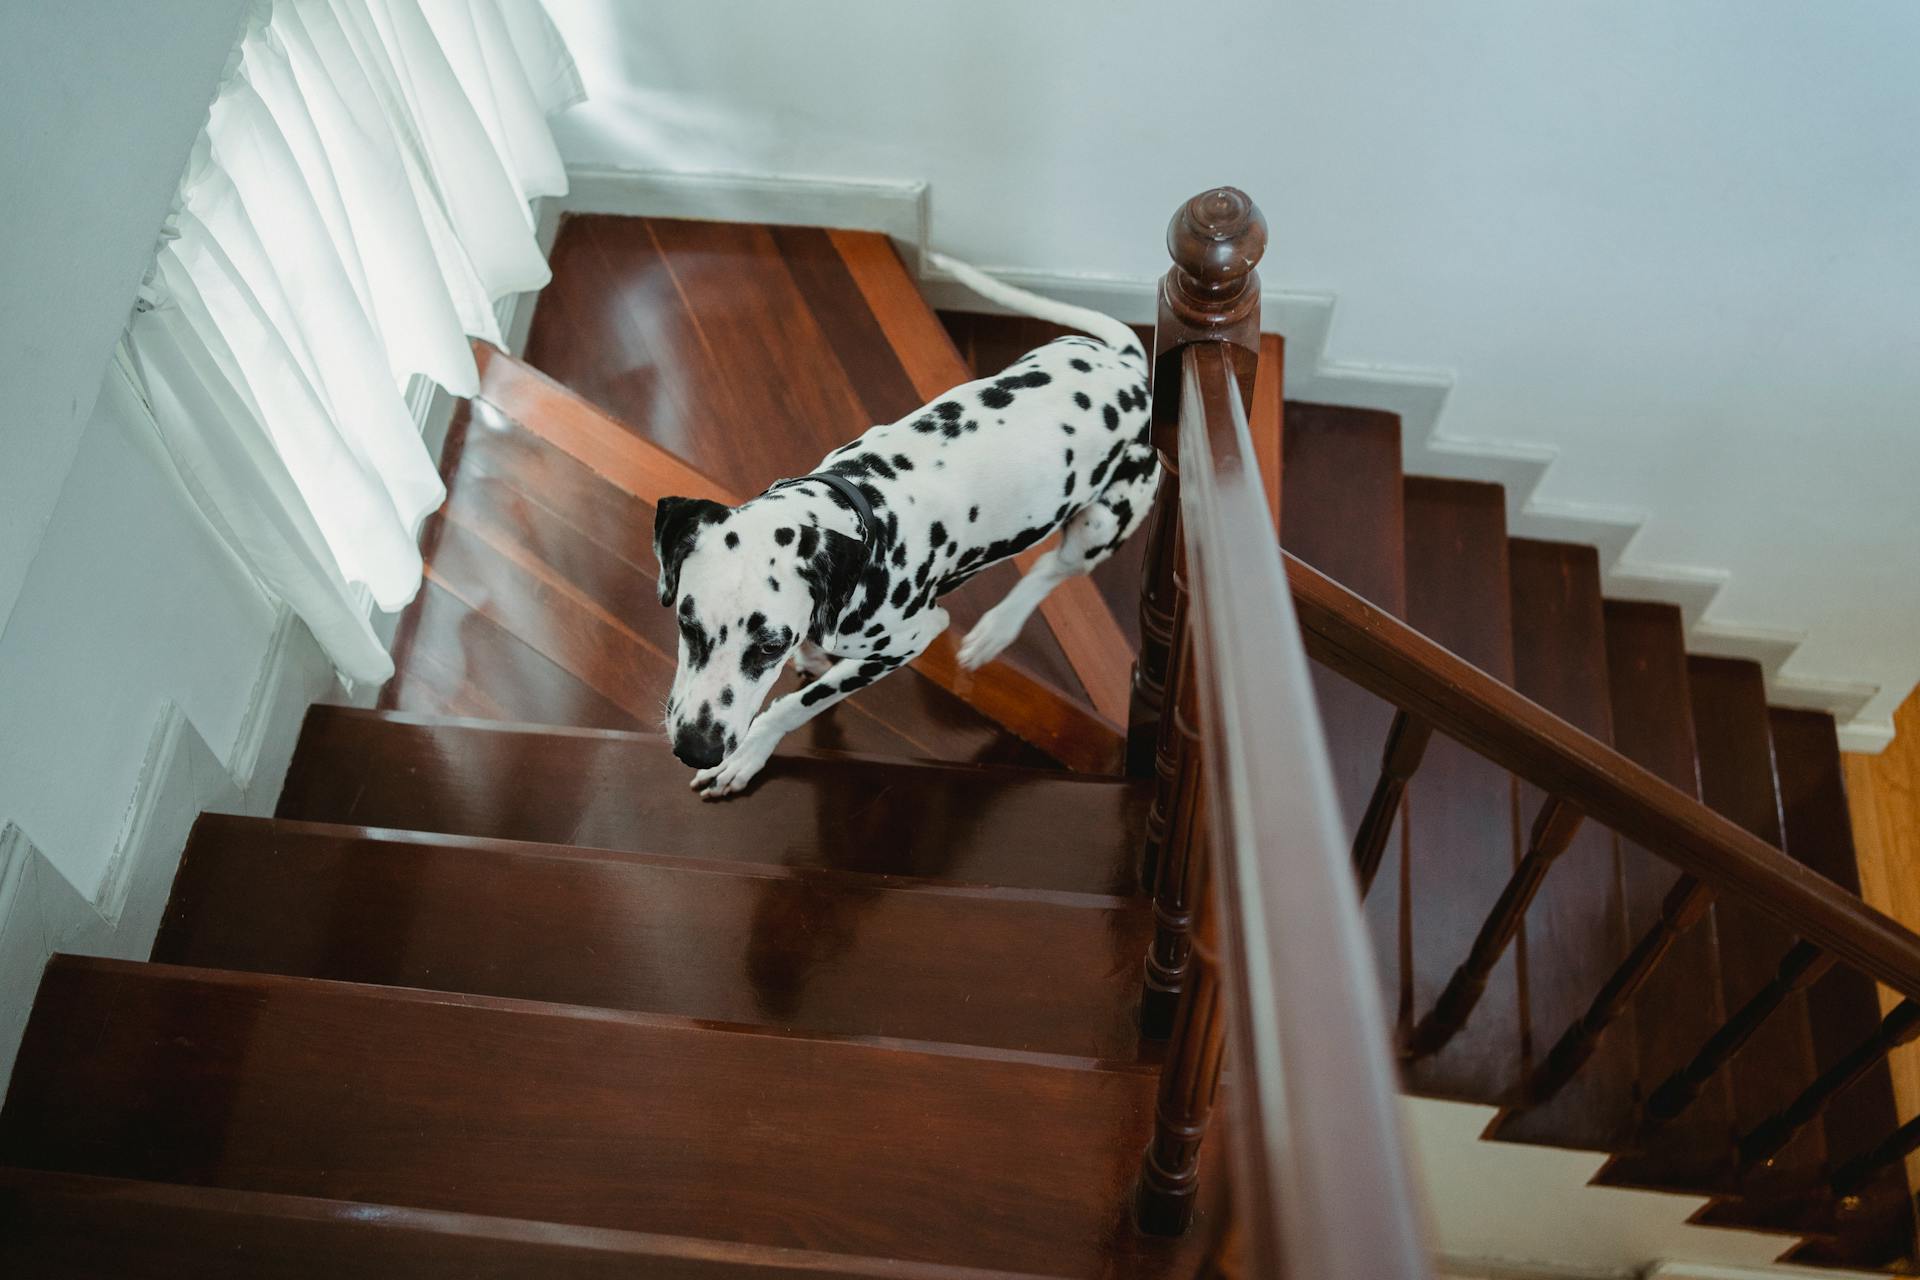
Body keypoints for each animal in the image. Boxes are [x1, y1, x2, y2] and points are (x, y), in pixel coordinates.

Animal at [652, 253, 1152, 802]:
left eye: (769, 647)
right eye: (686, 624)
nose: (695, 748)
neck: (860, 508)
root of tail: (1127, 368)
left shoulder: (908, 641)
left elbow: (796, 704)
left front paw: (749, 753)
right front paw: (810, 657)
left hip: (1104, 520)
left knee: (1052, 569)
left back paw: (996, 630)